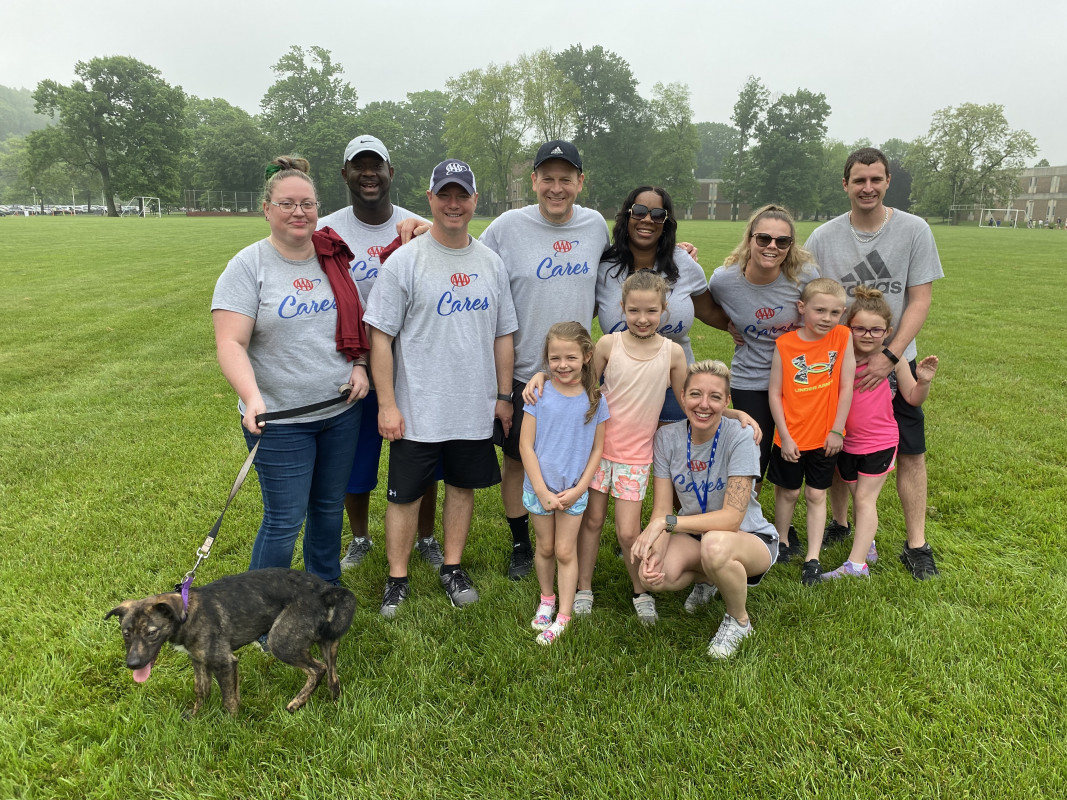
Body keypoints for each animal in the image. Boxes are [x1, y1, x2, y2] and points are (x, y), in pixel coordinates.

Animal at [107, 567, 358, 716]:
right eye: (126, 633)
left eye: (151, 633)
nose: (133, 664)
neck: (186, 613)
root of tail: (325, 591)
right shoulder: (199, 661)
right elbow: (201, 690)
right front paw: (195, 715)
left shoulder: (225, 662)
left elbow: (229, 699)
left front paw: (230, 726)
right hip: (328, 641)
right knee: (333, 676)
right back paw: (334, 703)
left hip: (281, 641)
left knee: (318, 669)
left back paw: (296, 703)